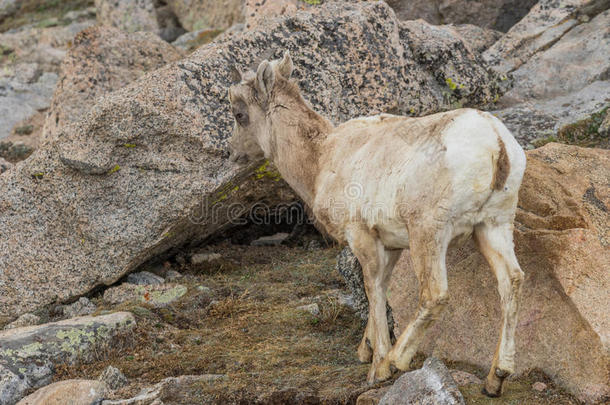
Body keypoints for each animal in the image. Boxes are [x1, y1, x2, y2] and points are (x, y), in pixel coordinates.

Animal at [226, 52, 524, 396]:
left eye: (239, 114)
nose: (233, 154)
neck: (322, 159)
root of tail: (497, 145)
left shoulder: (361, 235)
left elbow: (372, 286)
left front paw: (377, 366)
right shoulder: (390, 243)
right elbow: (381, 285)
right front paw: (365, 350)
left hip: (429, 232)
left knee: (435, 294)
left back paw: (396, 360)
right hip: (493, 226)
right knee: (511, 282)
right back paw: (495, 378)